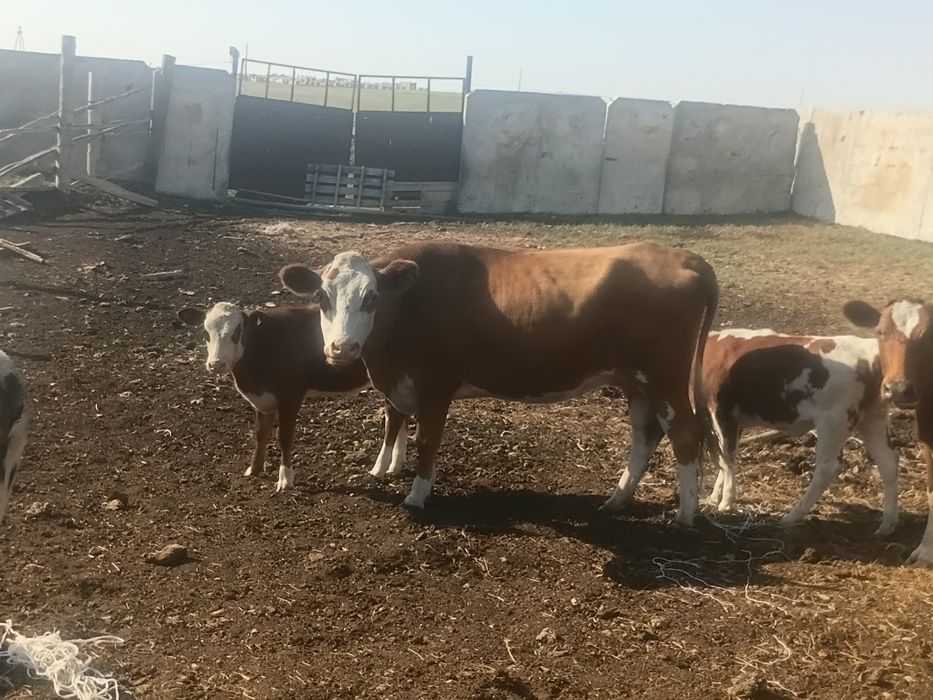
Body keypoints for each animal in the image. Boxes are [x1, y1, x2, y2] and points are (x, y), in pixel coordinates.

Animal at [177, 303, 403, 491]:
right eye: (206, 332)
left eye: (237, 331)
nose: (216, 364)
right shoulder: (263, 400)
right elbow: (260, 434)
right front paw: (254, 470)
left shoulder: (291, 396)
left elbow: (284, 437)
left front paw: (285, 479)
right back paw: (395, 464)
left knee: (394, 418)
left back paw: (380, 468)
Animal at [278, 241, 718, 526]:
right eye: (322, 297)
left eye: (371, 297)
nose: (341, 347)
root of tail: (685, 256)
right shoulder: (402, 383)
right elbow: (394, 422)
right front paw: (383, 471)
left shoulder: (437, 384)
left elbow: (427, 440)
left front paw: (418, 494)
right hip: (637, 381)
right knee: (645, 436)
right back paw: (616, 501)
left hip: (666, 376)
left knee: (685, 433)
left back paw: (685, 516)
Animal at [702, 329, 897, 534]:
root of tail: (869, 352)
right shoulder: (734, 419)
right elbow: (726, 458)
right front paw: (715, 496)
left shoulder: (721, 411)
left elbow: (727, 459)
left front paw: (726, 502)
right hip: (873, 418)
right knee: (888, 462)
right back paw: (887, 524)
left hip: (833, 422)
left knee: (827, 469)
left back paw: (793, 516)